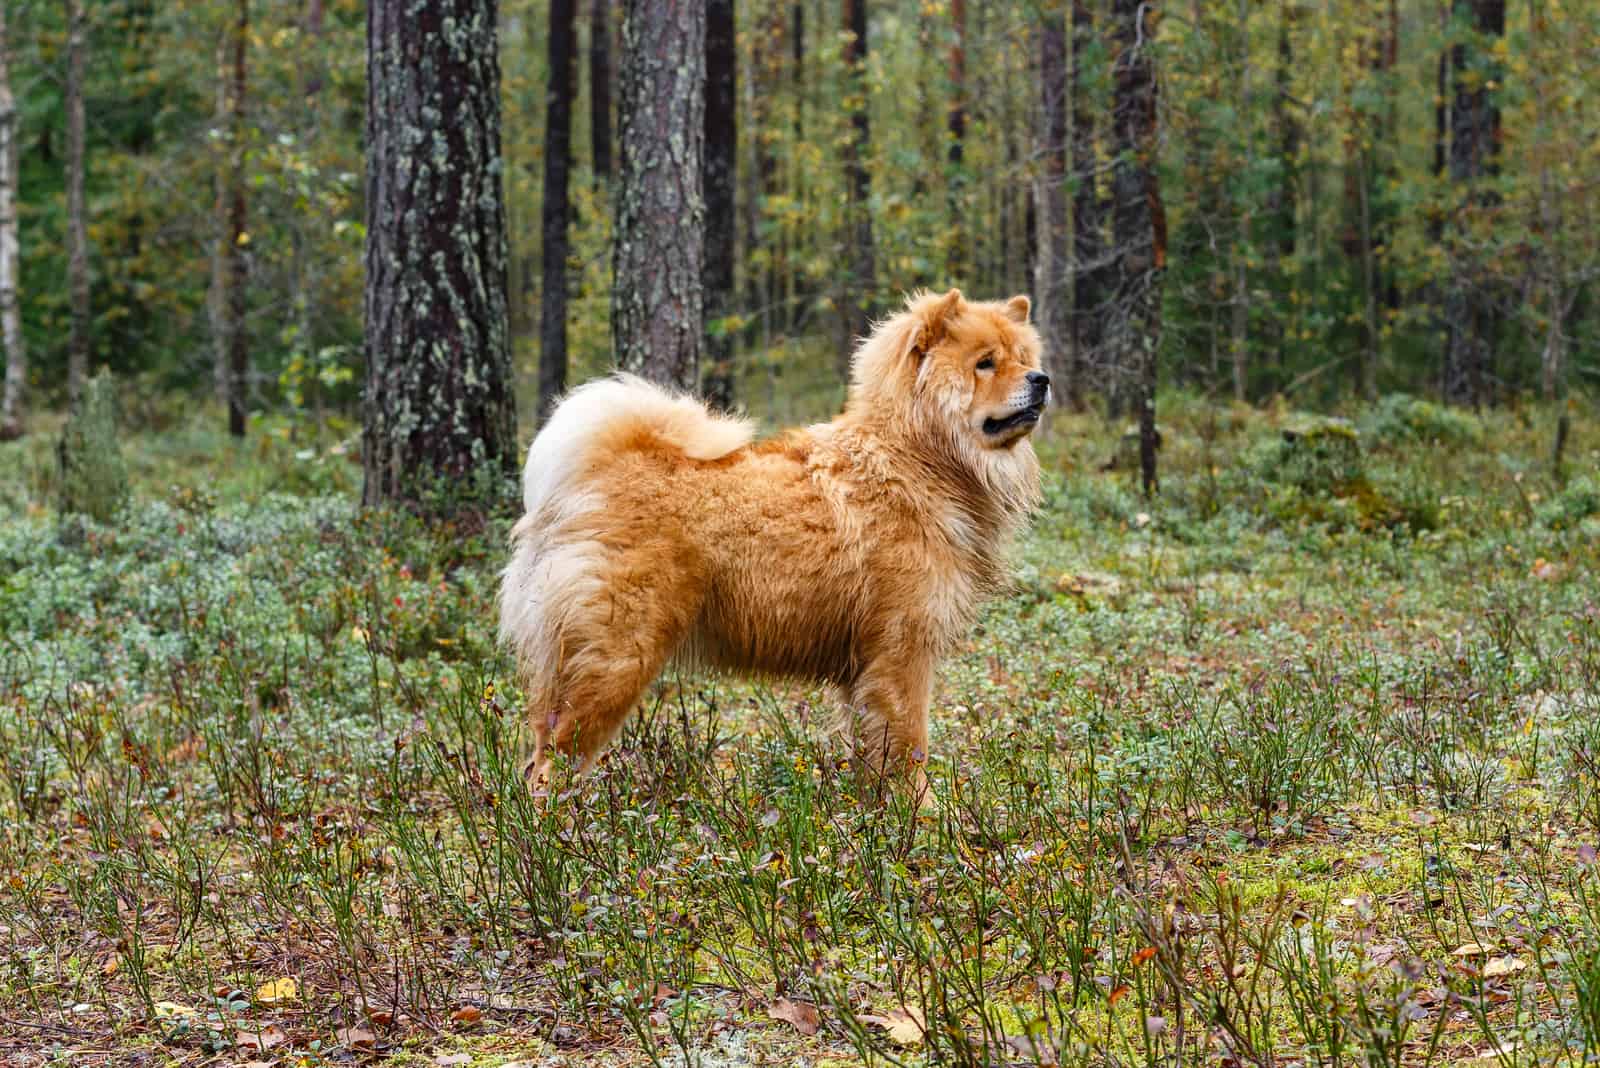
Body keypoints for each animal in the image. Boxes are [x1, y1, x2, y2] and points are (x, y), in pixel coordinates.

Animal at [499, 287, 1049, 796]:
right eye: (985, 364)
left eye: (1024, 359)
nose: (1041, 380)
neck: (916, 459)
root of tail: (590, 476)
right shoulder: (903, 651)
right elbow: (909, 747)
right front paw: (922, 817)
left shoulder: (865, 669)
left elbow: (871, 750)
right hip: (617, 659)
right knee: (553, 765)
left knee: (538, 750)